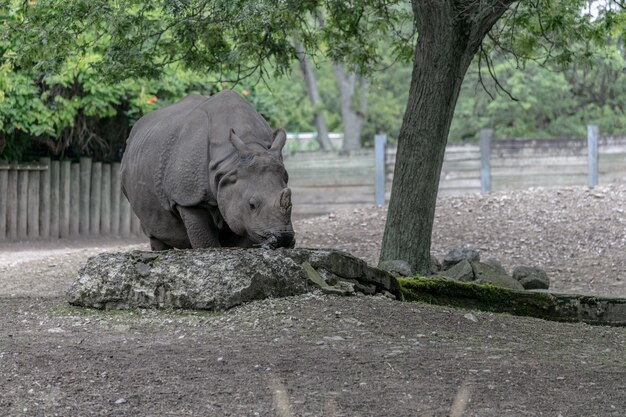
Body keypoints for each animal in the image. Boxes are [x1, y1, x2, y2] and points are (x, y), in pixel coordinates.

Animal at [120, 89, 294, 249]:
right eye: (252, 205)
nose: (284, 239)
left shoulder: (244, 214)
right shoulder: (188, 197)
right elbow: (205, 242)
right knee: (155, 233)